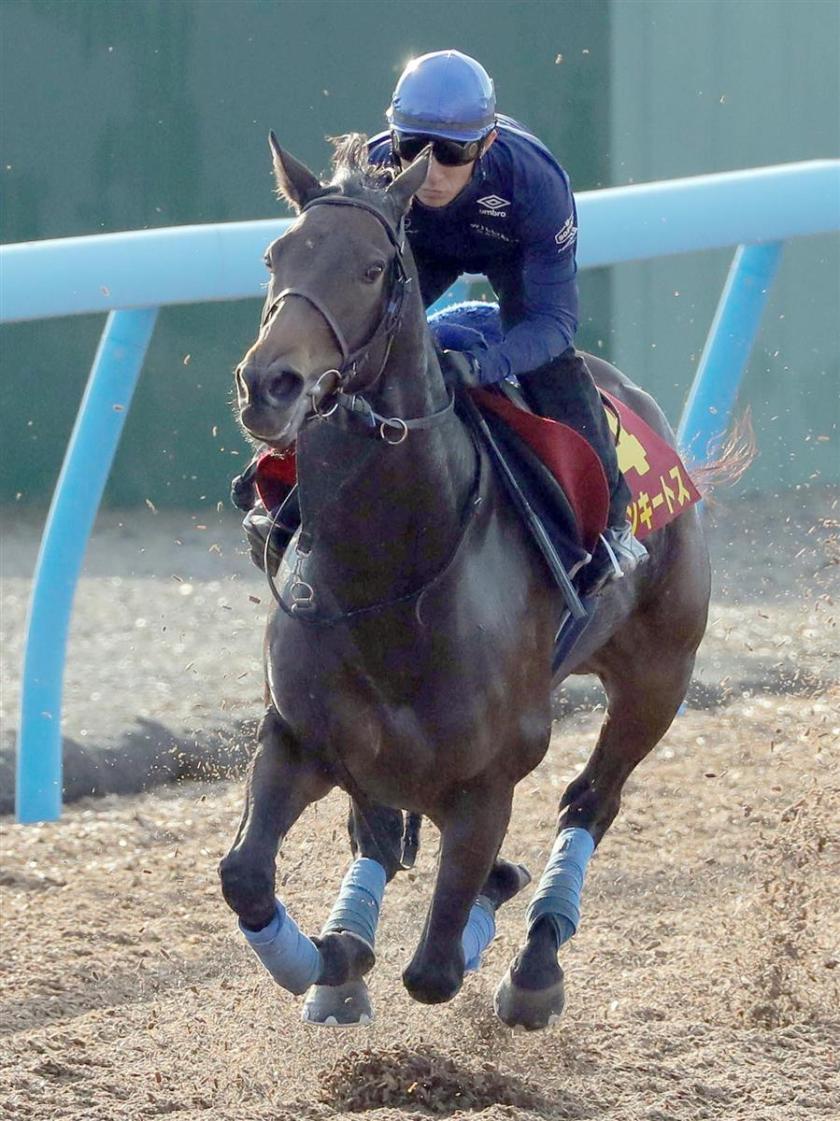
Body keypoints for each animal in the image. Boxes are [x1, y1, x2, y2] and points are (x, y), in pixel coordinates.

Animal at [218, 132, 711, 1031]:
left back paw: (538, 960)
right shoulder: (298, 735)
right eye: (277, 254)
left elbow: (437, 967)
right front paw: (331, 962)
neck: (389, 579)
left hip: (661, 675)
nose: (269, 384)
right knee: (378, 835)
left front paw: (489, 897)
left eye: (376, 267)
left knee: (590, 799)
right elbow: (246, 875)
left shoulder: (488, 781)